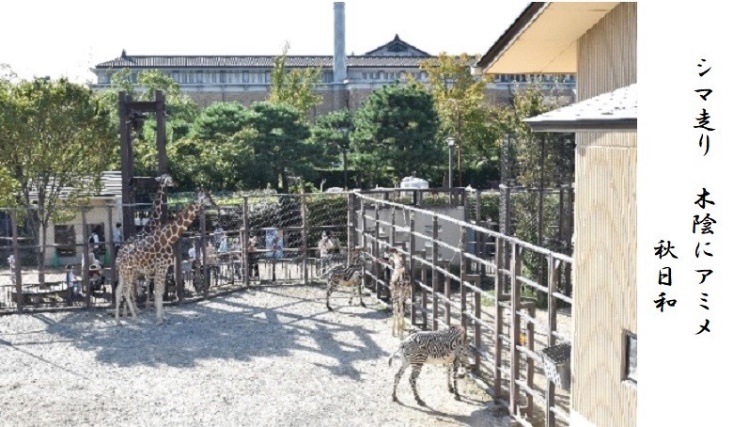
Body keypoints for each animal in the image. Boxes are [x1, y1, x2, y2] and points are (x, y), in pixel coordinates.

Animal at [115, 189, 214, 326]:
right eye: (207, 197)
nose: (215, 204)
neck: (167, 238)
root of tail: (118, 258)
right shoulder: (161, 268)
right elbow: (157, 291)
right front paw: (159, 319)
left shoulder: (163, 268)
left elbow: (160, 291)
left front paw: (162, 317)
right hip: (129, 273)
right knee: (126, 291)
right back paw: (135, 318)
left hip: (123, 273)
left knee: (118, 291)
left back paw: (118, 320)